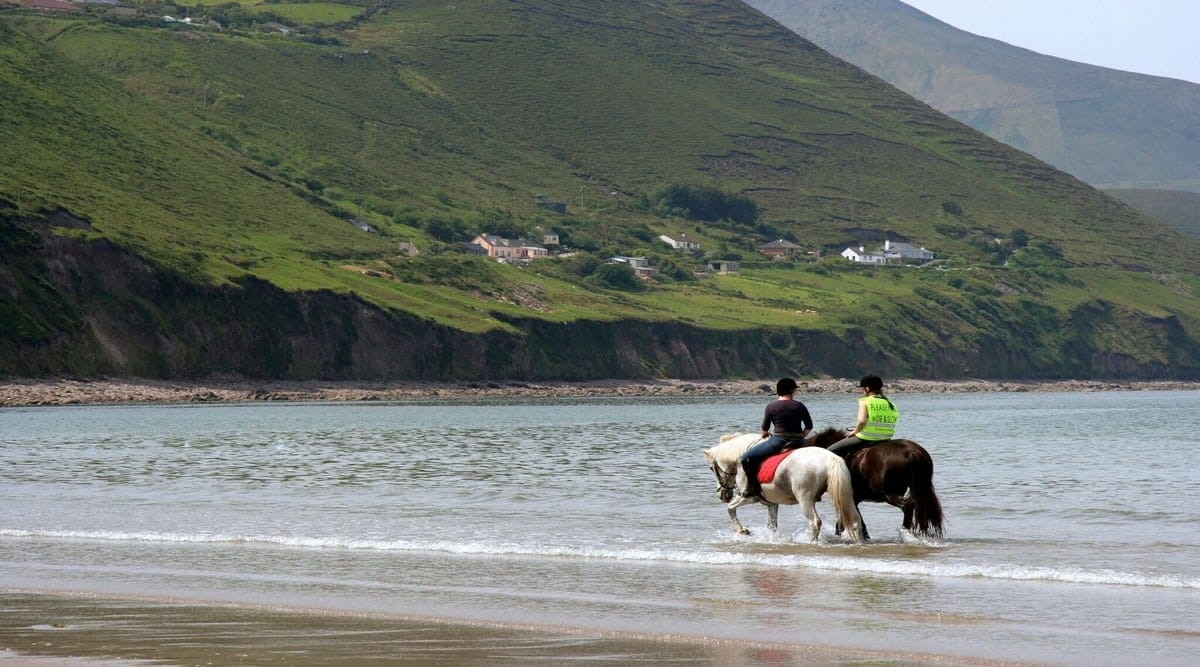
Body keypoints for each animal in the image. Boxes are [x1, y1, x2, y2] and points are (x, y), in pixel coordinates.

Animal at [700, 431, 864, 542]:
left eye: (712, 468)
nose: (722, 495)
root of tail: (830, 459)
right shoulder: (771, 503)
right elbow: (772, 526)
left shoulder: (748, 497)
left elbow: (730, 508)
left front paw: (742, 530)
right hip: (845, 496)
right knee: (855, 520)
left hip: (805, 499)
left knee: (815, 523)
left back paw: (813, 543)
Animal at [806, 427, 945, 542]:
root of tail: (912, 452)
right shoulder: (854, 498)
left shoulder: (851, 498)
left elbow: (848, 520)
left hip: (889, 494)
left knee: (907, 506)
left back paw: (905, 532)